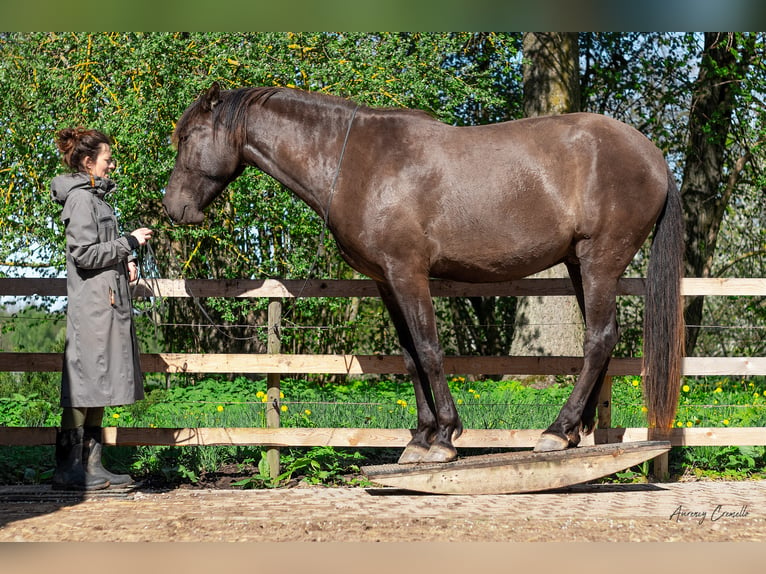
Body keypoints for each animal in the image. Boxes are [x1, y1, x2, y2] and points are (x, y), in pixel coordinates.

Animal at [164, 83, 688, 466]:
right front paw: (420, 437)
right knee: (604, 339)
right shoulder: (385, 280)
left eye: (187, 138)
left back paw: (557, 432)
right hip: (581, 265)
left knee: (598, 338)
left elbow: (431, 349)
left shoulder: (408, 272)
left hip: (600, 260)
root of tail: (654, 155)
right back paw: (574, 432)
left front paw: (445, 438)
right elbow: (410, 355)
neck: (356, 162)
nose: (175, 208)